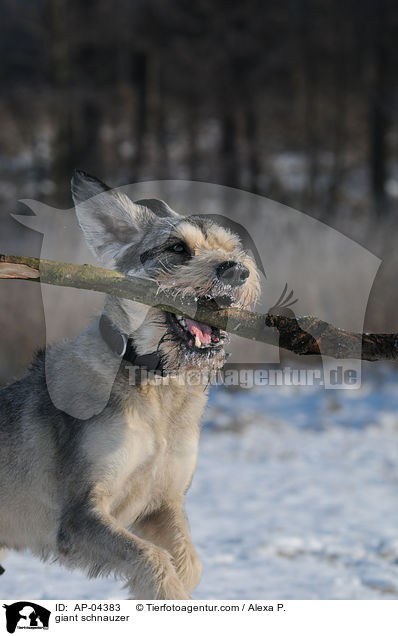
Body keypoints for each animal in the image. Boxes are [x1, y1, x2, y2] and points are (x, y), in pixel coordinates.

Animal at [0, 171, 262, 600]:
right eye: (177, 248)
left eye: (232, 248)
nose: (238, 271)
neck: (157, 386)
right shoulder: (80, 514)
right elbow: (152, 559)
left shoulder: (164, 501)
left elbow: (189, 563)